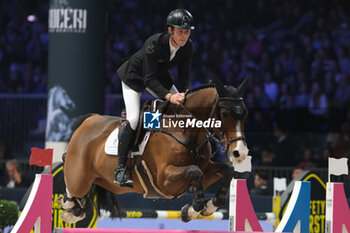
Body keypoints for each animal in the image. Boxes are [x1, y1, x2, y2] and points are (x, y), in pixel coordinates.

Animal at [57, 78, 249, 224]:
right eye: (225, 114)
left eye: (245, 114)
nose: (240, 152)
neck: (185, 130)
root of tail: (88, 121)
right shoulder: (164, 180)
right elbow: (195, 172)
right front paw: (193, 210)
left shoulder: (206, 169)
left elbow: (226, 170)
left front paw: (209, 206)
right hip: (80, 178)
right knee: (72, 184)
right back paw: (68, 205)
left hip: (105, 181)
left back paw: (76, 208)